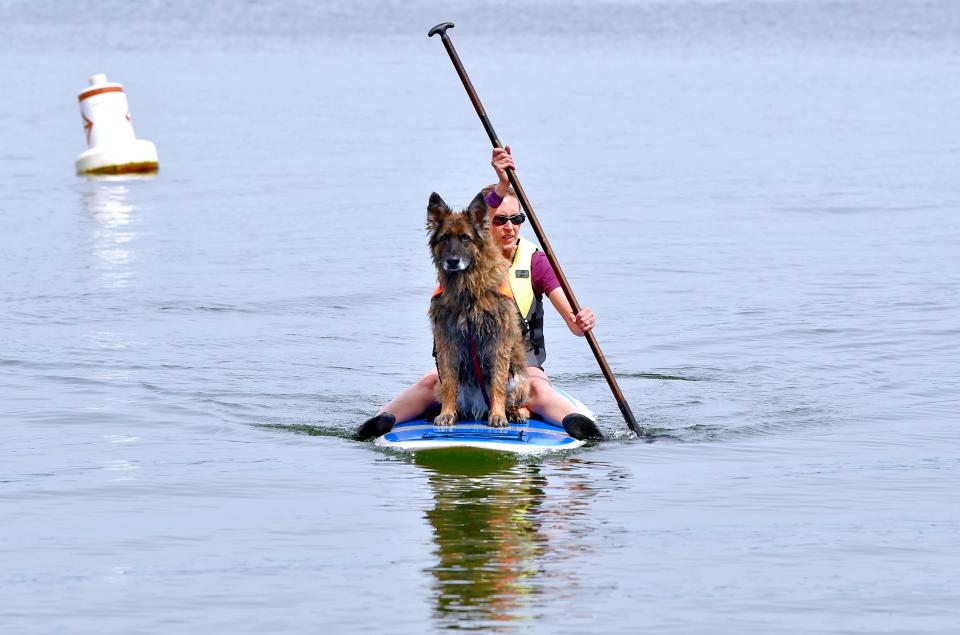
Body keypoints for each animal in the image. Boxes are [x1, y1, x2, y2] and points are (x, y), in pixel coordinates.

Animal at [430, 190, 532, 428]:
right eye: (444, 238)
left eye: (465, 238)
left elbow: (498, 383)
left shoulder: (499, 339)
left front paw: (498, 415)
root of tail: (478, 408)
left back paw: (514, 413)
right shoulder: (446, 339)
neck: (468, 289)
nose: (452, 261)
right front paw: (446, 414)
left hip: (520, 380)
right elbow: (449, 382)